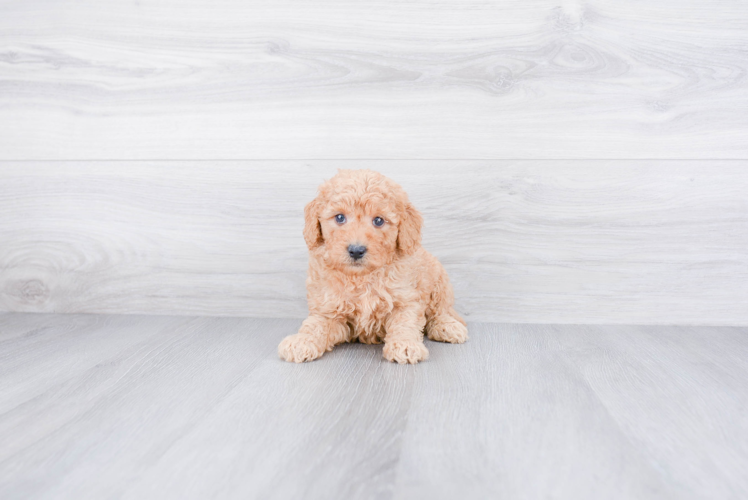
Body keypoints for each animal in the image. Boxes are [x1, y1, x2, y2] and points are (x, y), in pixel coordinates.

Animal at [280, 169, 468, 364]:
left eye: (378, 221)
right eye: (340, 217)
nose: (356, 250)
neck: (362, 277)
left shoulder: (406, 298)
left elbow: (405, 322)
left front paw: (405, 345)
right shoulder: (329, 307)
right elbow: (316, 324)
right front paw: (302, 341)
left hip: (439, 280)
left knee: (441, 310)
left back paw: (447, 326)